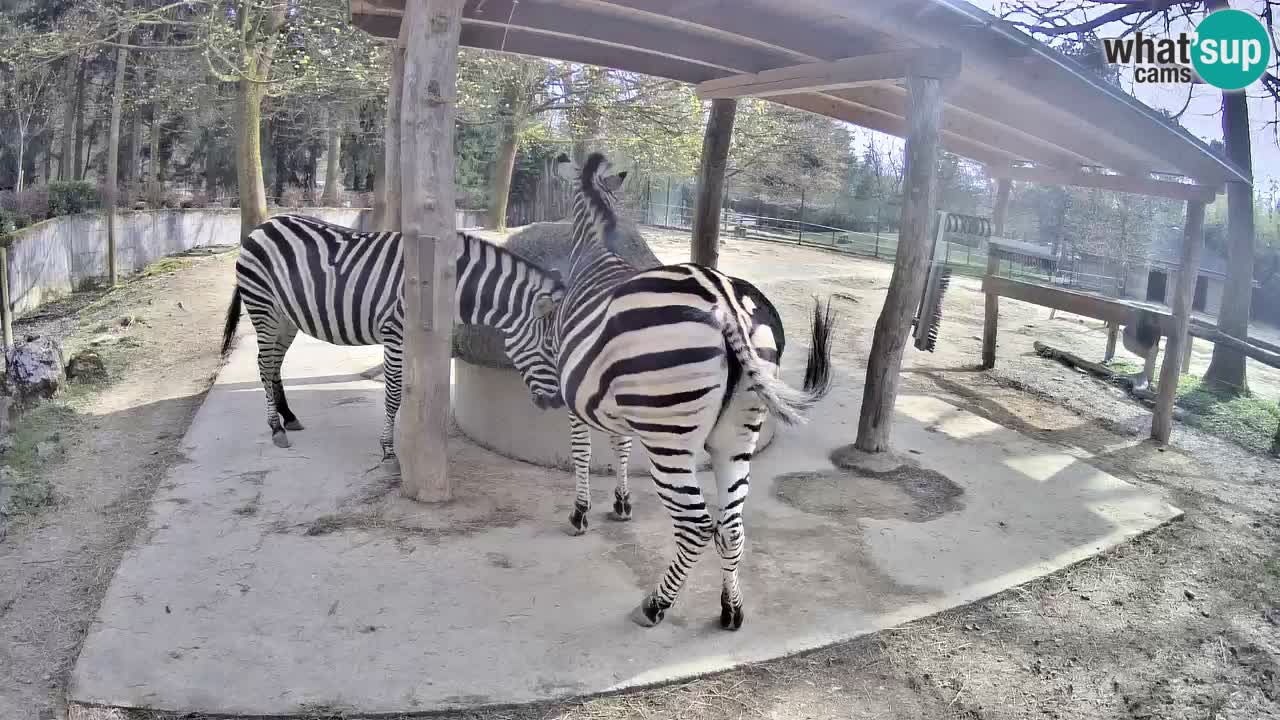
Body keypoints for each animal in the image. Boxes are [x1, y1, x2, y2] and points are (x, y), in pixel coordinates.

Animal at [220, 213, 565, 459]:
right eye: (549, 349)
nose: (558, 402)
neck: (447, 286)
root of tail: (262, 226)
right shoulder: (395, 332)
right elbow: (394, 392)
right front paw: (388, 448)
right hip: (263, 307)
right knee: (264, 365)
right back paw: (276, 428)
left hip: (285, 317)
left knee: (274, 365)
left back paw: (289, 417)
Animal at [547, 153, 835, 630]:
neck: (597, 249)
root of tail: (726, 302)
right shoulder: (622, 404)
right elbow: (621, 447)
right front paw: (622, 503)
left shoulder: (575, 397)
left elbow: (583, 453)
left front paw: (581, 512)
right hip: (736, 435)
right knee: (731, 528)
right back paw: (731, 610)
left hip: (671, 438)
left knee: (697, 526)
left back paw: (654, 605)